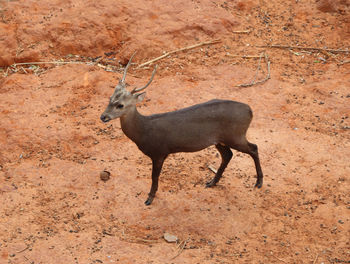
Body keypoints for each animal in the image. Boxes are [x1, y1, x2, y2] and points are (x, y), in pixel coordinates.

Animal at [100, 54, 264, 205]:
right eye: (110, 99)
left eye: (120, 105)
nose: (103, 116)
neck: (144, 130)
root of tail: (250, 111)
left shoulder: (159, 152)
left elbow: (154, 177)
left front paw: (149, 198)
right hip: (220, 140)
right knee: (228, 155)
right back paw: (212, 182)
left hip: (235, 135)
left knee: (254, 148)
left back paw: (259, 182)